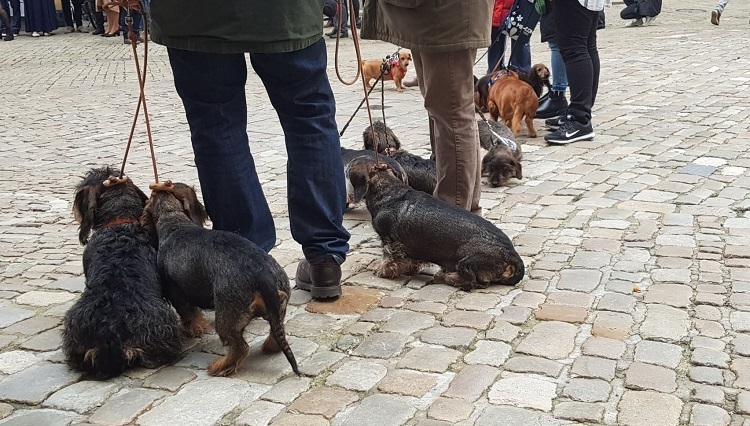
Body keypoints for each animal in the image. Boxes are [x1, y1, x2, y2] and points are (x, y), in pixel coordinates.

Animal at [141, 182, 299, 377]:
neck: (174, 221)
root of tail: (262, 273)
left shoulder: (176, 293)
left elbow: (190, 314)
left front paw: (194, 329)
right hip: (278, 300)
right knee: (277, 327)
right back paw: (270, 345)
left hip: (226, 318)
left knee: (240, 347)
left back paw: (219, 366)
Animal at [348, 157, 525, 291]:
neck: (390, 192)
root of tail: (512, 255)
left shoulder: (389, 239)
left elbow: (388, 257)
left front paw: (382, 269)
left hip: (466, 261)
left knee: (474, 282)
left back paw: (448, 276)